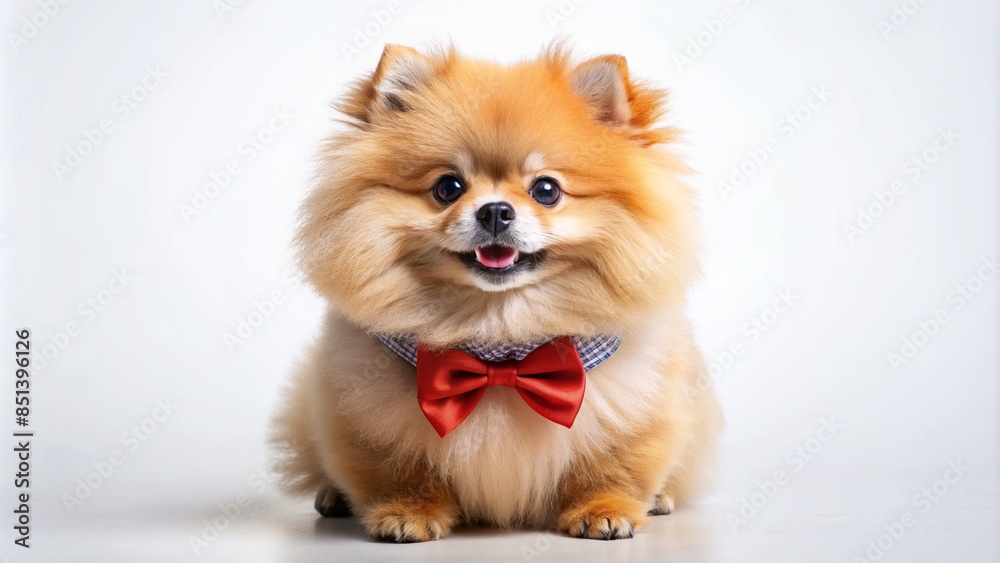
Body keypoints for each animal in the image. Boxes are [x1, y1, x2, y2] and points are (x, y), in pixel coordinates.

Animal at [270, 44, 724, 540]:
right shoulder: (367, 416)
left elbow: (611, 466)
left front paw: (603, 509)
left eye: (546, 190)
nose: (495, 211)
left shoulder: (634, 410)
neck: (499, 341)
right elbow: (400, 471)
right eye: (448, 187)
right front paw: (409, 513)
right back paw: (333, 496)